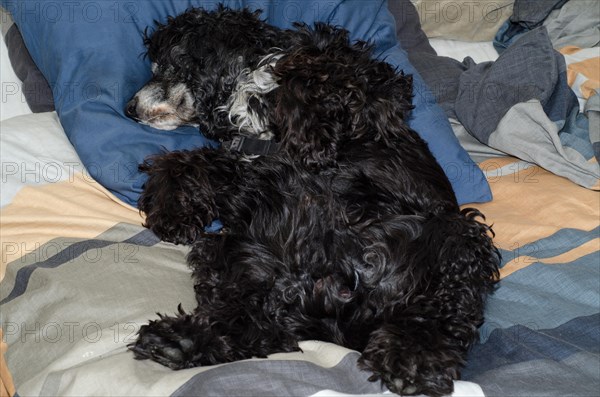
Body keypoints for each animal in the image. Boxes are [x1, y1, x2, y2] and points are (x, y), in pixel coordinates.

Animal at [124, 6, 500, 396]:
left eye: (165, 65)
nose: (129, 108)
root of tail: (336, 295)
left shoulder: (374, 86)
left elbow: (312, 75)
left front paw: (310, 134)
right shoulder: (245, 174)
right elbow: (182, 161)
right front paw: (170, 212)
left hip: (457, 237)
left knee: (441, 314)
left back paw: (413, 358)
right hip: (239, 255)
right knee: (254, 324)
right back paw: (179, 341)